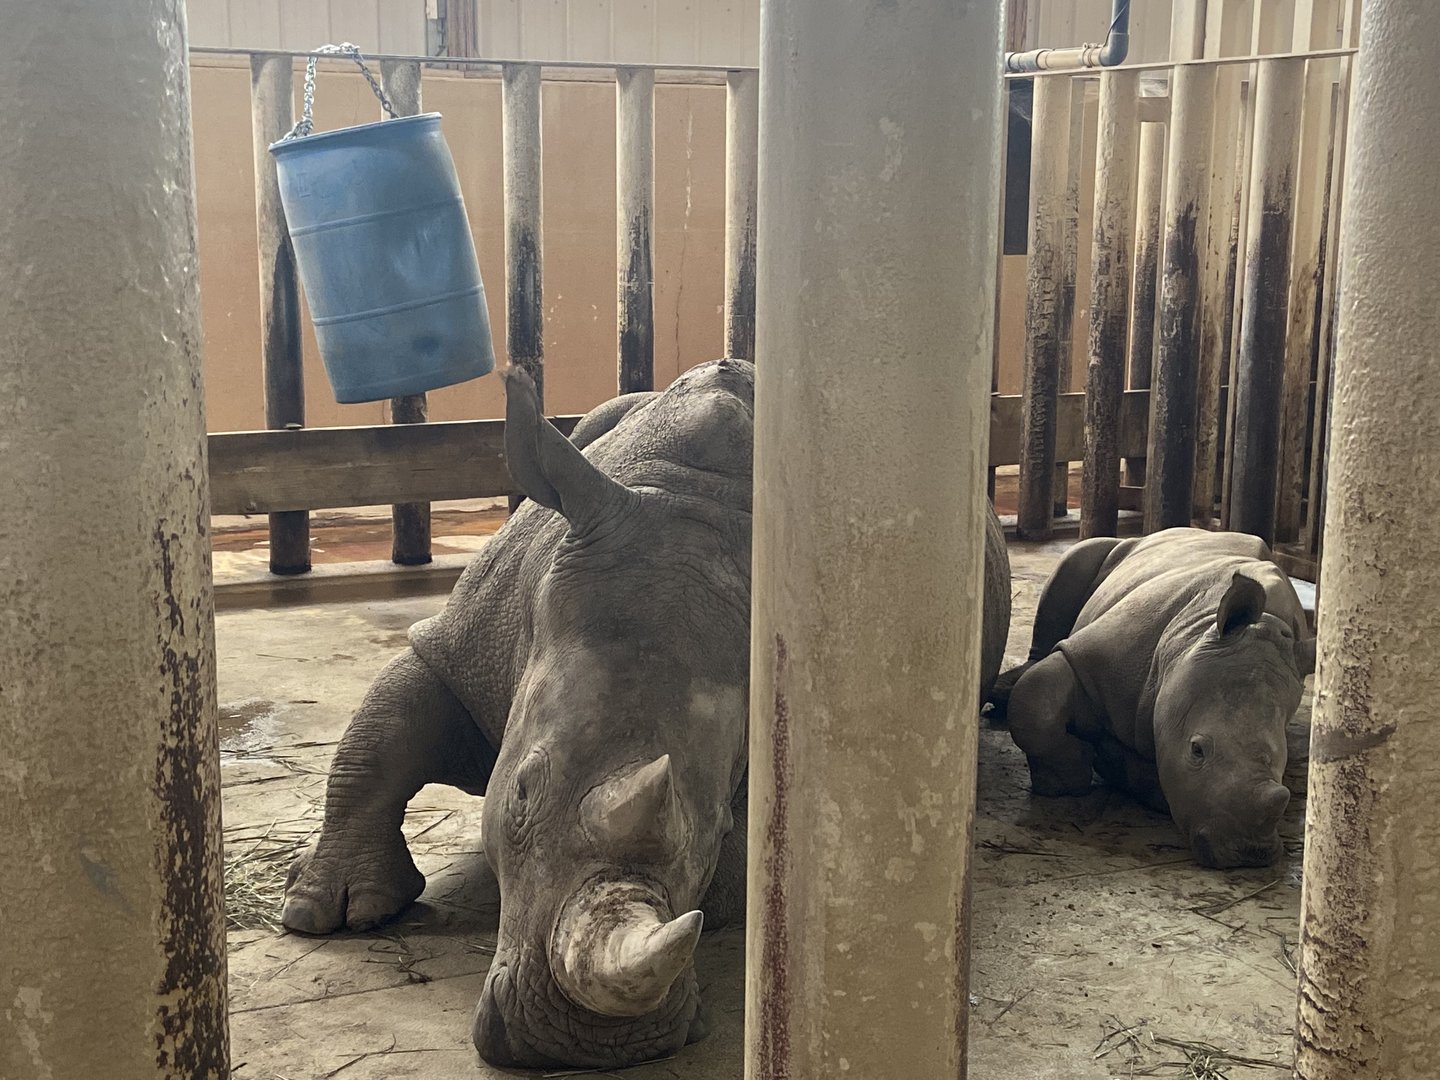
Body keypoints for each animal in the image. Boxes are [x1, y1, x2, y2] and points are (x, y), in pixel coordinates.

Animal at [281, 358, 1012, 1070]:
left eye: (719, 829)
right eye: (520, 793)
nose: (584, 1048)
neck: (692, 504)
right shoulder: (464, 649)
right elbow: (381, 738)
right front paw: (324, 914)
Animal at [992, 527, 1315, 869]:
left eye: (1279, 763)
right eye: (1196, 750)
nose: (1249, 854)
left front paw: (1119, 764)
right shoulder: (1093, 656)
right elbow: (1034, 700)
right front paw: (1067, 779)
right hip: (1122, 552)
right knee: (1075, 562)